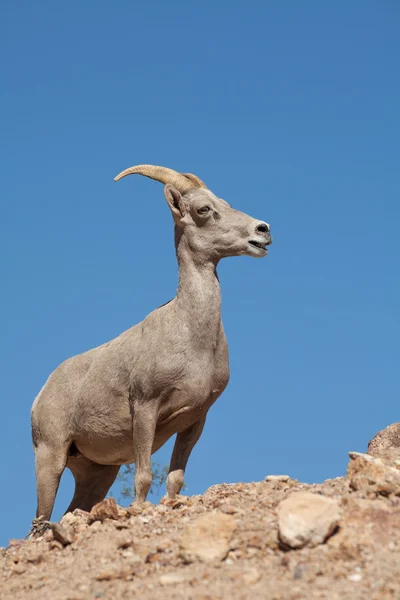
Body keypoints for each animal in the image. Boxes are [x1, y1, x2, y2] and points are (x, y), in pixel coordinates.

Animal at [31, 164, 272, 520]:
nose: (262, 230)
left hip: (97, 471)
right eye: (203, 210)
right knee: (42, 519)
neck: (192, 337)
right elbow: (144, 478)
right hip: (50, 457)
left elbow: (175, 479)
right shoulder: (146, 408)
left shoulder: (195, 420)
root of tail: (41, 394)